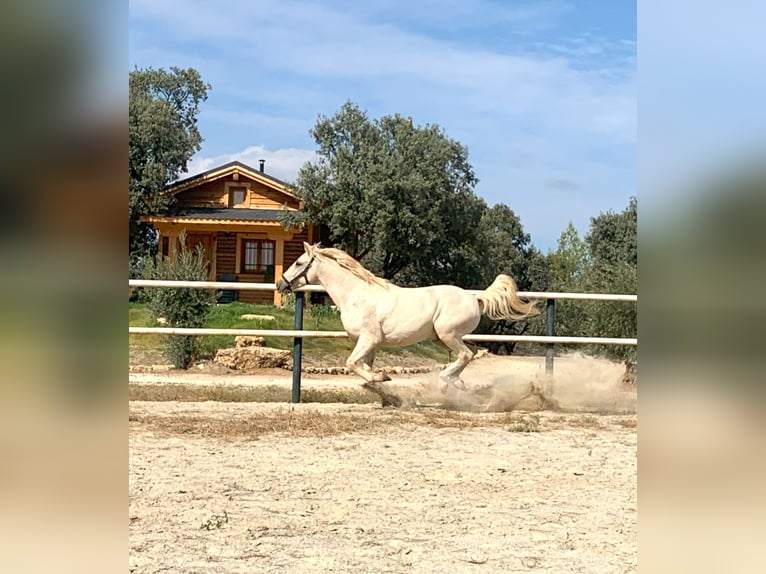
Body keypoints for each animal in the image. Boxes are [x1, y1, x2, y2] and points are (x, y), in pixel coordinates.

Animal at [278, 244, 540, 404]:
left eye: (299, 263)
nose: (280, 284)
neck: (356, 294)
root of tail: (475, 298)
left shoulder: (368, 339)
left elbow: (351, 363)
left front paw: (383, 378)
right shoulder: (371, 343)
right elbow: (364, 368)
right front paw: (382, 388)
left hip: (448, 335)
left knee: (465, 355)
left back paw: (445, 380)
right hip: (444, 338)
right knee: (471, 353)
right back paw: (457, 383)